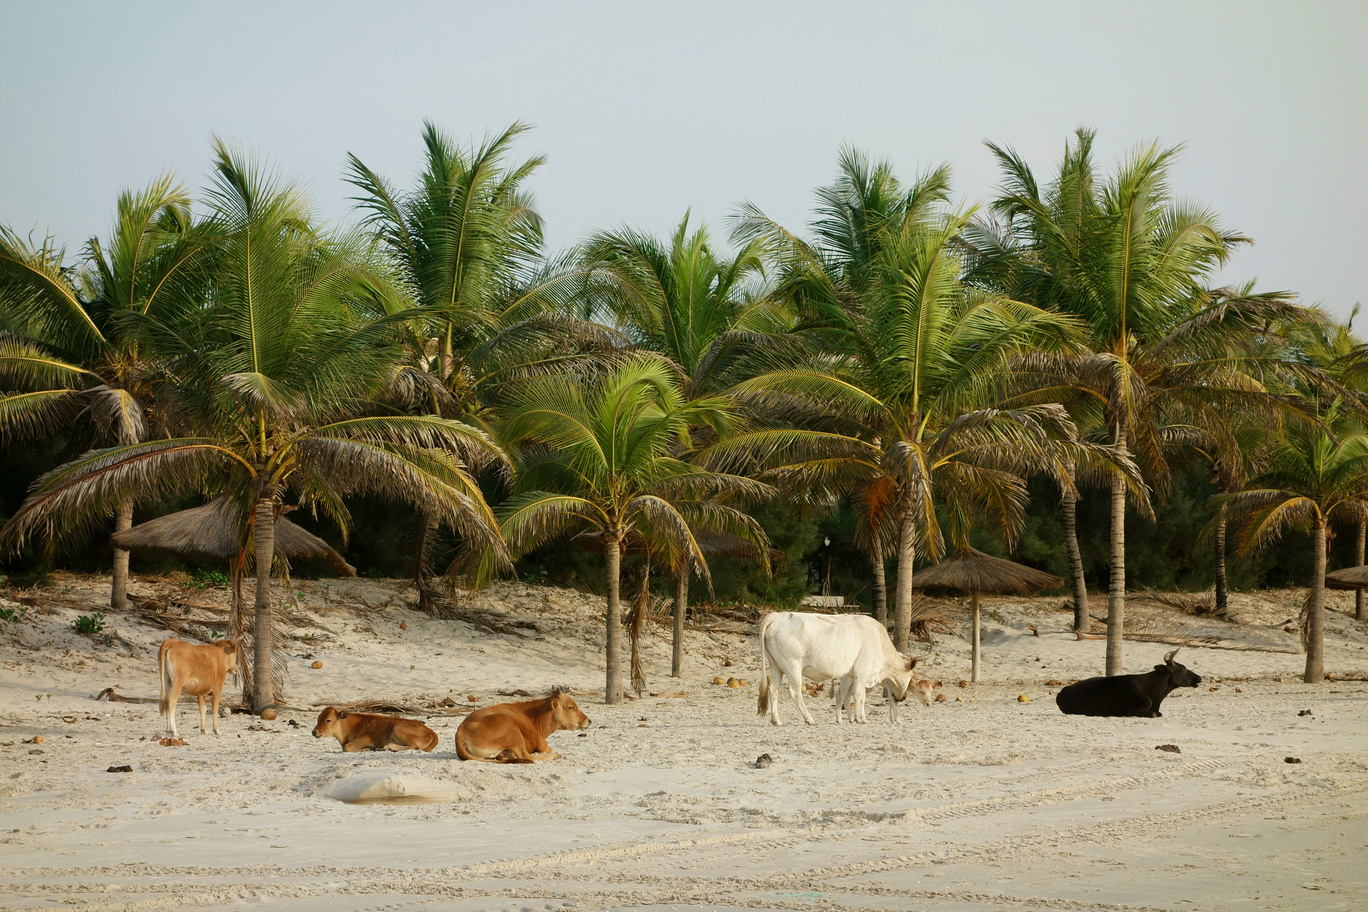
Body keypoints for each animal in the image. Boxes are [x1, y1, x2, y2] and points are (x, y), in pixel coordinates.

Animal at [456, 691, 590, 765]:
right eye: (571, 707)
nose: (589, 720)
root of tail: (460, 731)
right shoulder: (542, 745)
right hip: (512, 729)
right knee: (525, 756)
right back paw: (556, 755)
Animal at [760, 612, 919, 727]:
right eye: (910, 677)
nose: (904, 696)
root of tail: (776, 615)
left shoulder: (856, 675)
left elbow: (858, 697)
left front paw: (859, 718)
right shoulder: (862, 671)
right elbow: (859, 695)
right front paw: (860, 719)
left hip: (776, 666)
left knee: (773, 689)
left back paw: (776, 720)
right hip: (793, 666)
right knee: (795, 693)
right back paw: (810, 719)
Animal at [1056, 648, 1198, 721]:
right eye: (1182, 669)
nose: (1199, 678)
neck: (1155, 696)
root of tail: (1062, 692)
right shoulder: (1128, 711)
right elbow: (1152, 714)